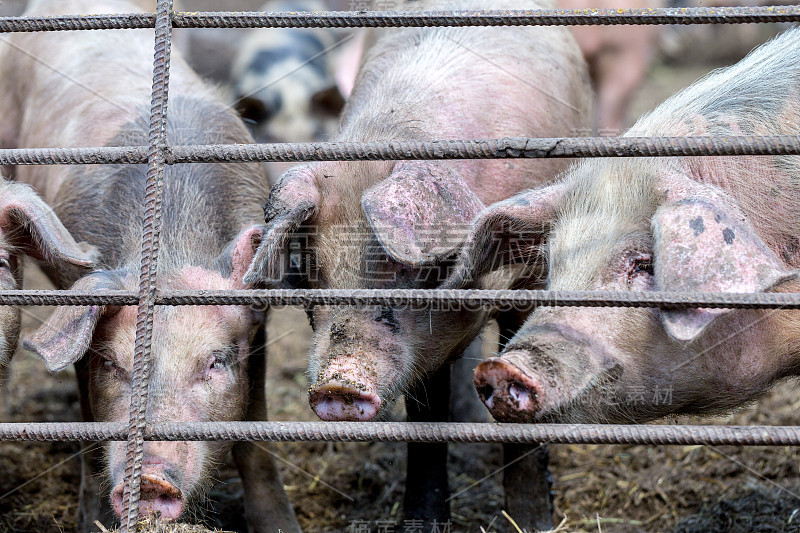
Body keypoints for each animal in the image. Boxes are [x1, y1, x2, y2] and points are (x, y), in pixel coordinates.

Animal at [247, 0, 592, 524]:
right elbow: (426, 420)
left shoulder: (532, 278)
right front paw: (420, 522)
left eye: (414, 272)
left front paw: (533, 522)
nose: (339, 386)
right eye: (311, 274)